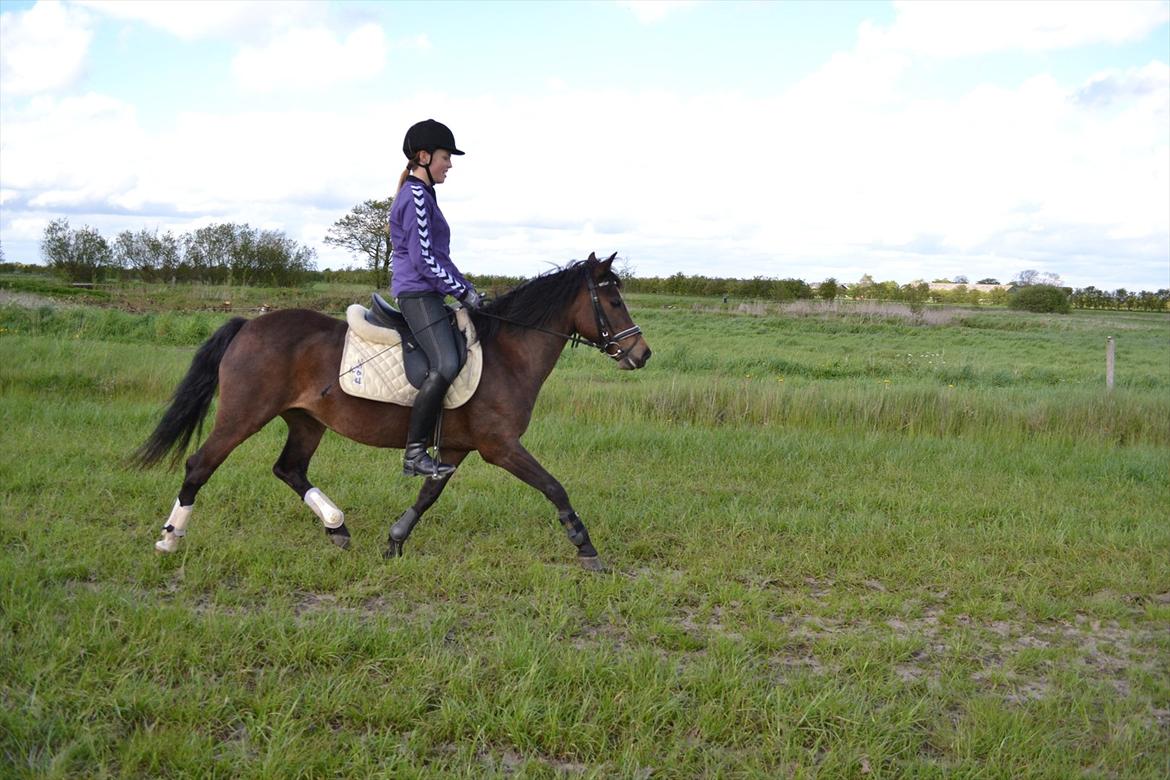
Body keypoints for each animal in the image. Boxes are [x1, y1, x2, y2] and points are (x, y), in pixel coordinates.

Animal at [138, 253, 655, 570]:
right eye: (613, 300)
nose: (642, 354)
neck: (507, 352)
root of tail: (249, 325)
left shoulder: (456, 447)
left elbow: (428, 495)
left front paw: (394, 541)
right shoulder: (500, 446)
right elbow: (554, 487)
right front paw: (586, 548)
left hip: (306, 420)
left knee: (289, 469)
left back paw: (337, 527)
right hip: (244, 415)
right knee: (200, 465)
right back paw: (169, 539)